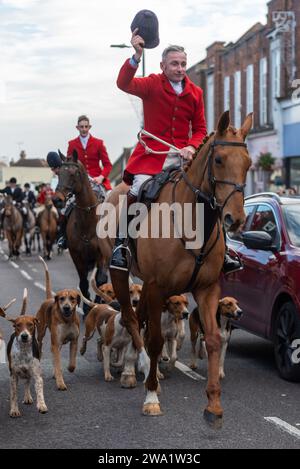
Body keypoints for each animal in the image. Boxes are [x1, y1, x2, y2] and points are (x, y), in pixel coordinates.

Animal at [99, 111, 252, 426]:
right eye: (219, 159)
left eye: (249, 163)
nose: (235, 219)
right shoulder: (158, 288)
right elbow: (156, 340)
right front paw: (151, 397)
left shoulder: (207, 289)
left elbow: (213, 341)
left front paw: (213, 406)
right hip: (121, 275)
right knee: (132, 320)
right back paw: (136, 370)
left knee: (139, 319)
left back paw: (139, 367)